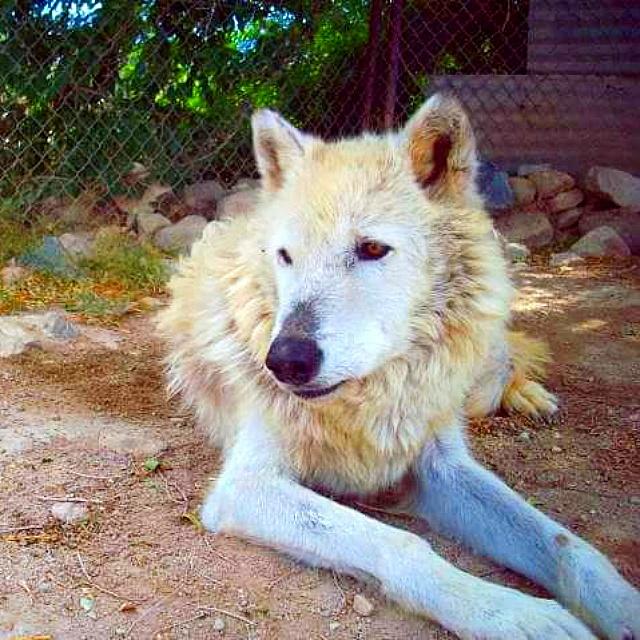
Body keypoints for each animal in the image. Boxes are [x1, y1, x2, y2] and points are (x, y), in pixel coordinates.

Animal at [157, 94, 639, 640]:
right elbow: (402, 544)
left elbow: (565, 544)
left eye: (371, 249)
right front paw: (518, 615)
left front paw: (622, 605)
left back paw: (529, 395)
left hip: (476, 376)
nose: (283, 361)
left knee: (504, 367)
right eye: (285, 256)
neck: (372, 397)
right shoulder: (245, 486)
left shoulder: (442, 462)